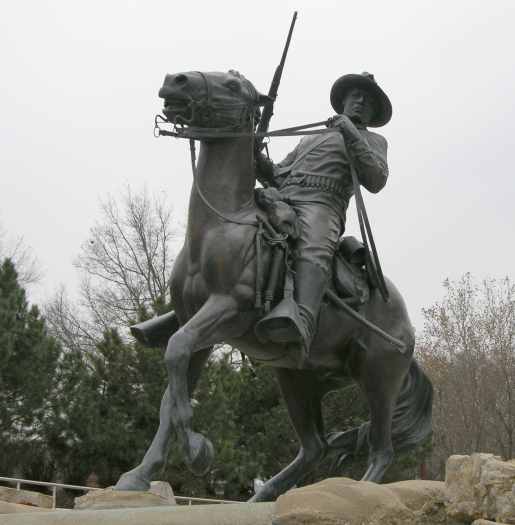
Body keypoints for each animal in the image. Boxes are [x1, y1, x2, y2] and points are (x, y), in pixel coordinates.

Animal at [115, 69, 434, 500]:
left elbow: (176, 351)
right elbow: (171, 387)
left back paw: (360, 492)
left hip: (378, 378)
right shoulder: (196, 323)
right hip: (297, 376)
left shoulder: (228, 310)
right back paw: (261, 495)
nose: (175, 80)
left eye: (234, 86)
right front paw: (139, 474)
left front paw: (197, 450)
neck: (222, 224)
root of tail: (406, 324)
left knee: (380, 449)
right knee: (315, 447)